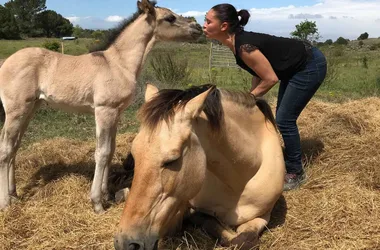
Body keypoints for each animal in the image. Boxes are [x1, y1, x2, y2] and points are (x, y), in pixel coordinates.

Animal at [0, 0, 202, 214]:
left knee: (14, 147)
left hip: (30, 109)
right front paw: (97, 203)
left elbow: (111, 150)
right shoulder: (105, 110)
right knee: (6, 149)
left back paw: (14, 194)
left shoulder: (116, 113)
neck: (119, 64)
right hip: (16, 110)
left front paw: (107, 195)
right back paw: (5, 203)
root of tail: (6, 62)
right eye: (170, 18)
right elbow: (102, 153)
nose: (197, 28)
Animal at [114, 84, 284, 250]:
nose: (126, 243)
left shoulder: (263, 215)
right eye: (135, 154)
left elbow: (243, 240)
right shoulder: (188, 206)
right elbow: (209, 222)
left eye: (172, 160)